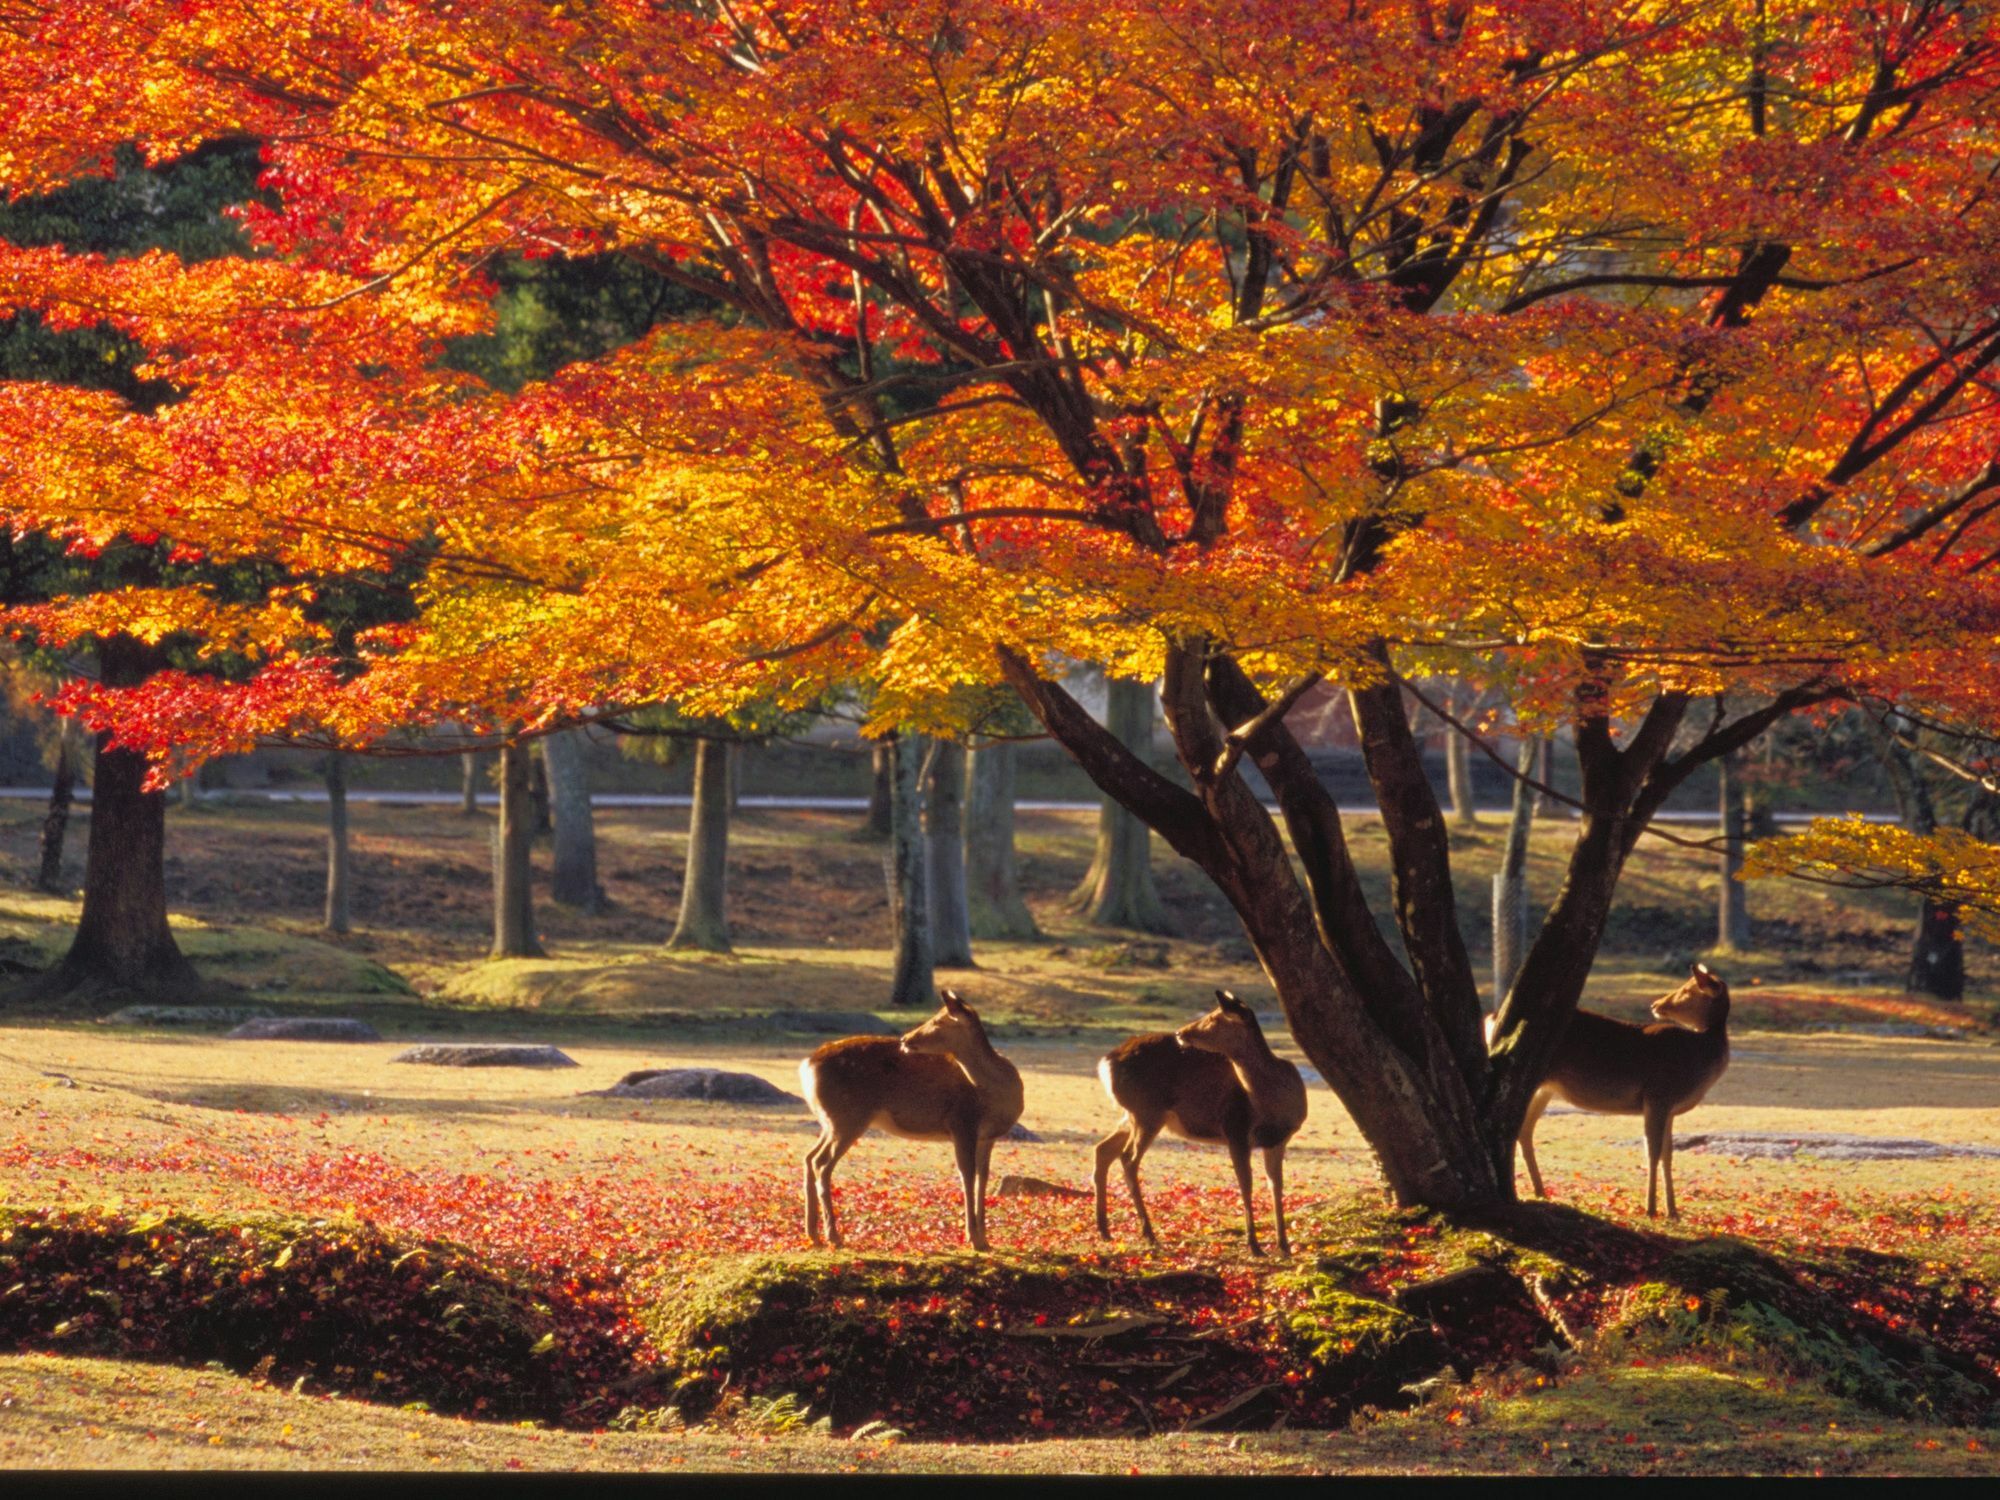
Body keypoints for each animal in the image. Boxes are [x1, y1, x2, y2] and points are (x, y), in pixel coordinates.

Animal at [796, 992, 1024, 1248]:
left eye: (938, 1021)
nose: (905, 1039)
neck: (996, 1097)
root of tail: (807, 1065)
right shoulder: (961, 1122)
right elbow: (966, 1175)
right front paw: (973, 1238)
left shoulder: (987, 1136)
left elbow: (982, 1177)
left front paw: (984, 1240)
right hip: (848, 1117)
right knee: (821, 1164)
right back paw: (833, 1236)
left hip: (830, 1121)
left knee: (809, 1157)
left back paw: (812, 1234)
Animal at [1096, 992, 1312, 1264]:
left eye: (1213, 1018)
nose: (1181, 1032)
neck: (1269, 1104)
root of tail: (1106, 1063)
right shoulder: (1235, 1129)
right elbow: (1246, 1185)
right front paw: (1254, 1246)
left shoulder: (1278, 1140)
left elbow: (1276, 1186)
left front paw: (1283, 1246)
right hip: (1146, 1111)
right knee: (1128, 1158)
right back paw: (1148, 1233)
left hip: (1133, 1114)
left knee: (1103, 1149)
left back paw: (1105, 1229)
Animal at [1512, 964, 1736, 1224]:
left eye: (1689, 989)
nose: (1656, 1004)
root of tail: (1491, 1020)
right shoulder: (1657, 1096)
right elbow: (1652, 1152)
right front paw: (1651, 1209)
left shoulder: (1669, 1109)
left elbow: (1668, 1154)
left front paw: (1673, 1211)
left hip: (1545, 1088)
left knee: (1524, 1130)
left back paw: (1540, 1190)